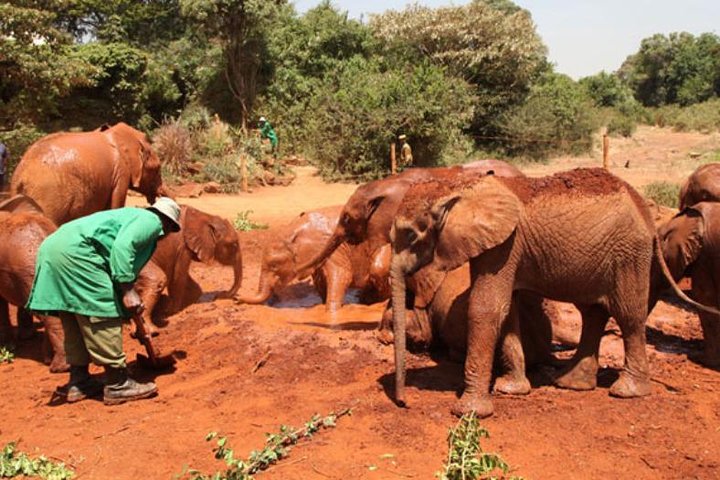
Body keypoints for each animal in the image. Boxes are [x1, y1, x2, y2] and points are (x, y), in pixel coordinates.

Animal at [235, 206, 390, 311]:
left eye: (274, 266)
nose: (237, 298)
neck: (294, 229)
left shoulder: (334, 249)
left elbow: (342, 276)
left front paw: (332, 313)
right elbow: (320, 280)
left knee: (378, 269)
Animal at [389, 167, 704, 418]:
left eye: (411, 235)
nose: (404, 403)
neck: (458, 187)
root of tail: (645, 210)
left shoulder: (506, 244)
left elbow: (486, 308)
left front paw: (470, 412)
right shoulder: (498, 246)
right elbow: (507, 310)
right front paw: (511, 389)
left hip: (629, 254)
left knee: (628, 315)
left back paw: (626, 392)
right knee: (593, 313)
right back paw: (572, 384)